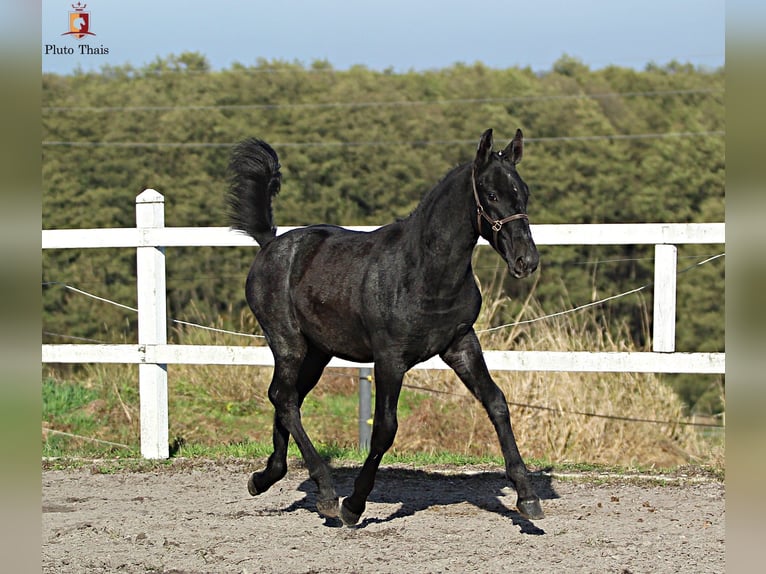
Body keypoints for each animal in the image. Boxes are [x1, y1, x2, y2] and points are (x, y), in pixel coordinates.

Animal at [228, 129, 544, 528]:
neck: (425, 271)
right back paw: (326, 493)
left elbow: (497, 403)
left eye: (524, 191)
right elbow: (384, 428)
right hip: (288, 343)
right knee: (284, 397)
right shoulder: (390, 358)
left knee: (287, 398)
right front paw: (353, 505)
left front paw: (528, 497)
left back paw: (266, 477)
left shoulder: (461, 344)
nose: (526, 260)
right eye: (490, 194)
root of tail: (269, 243)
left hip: (317, 352)